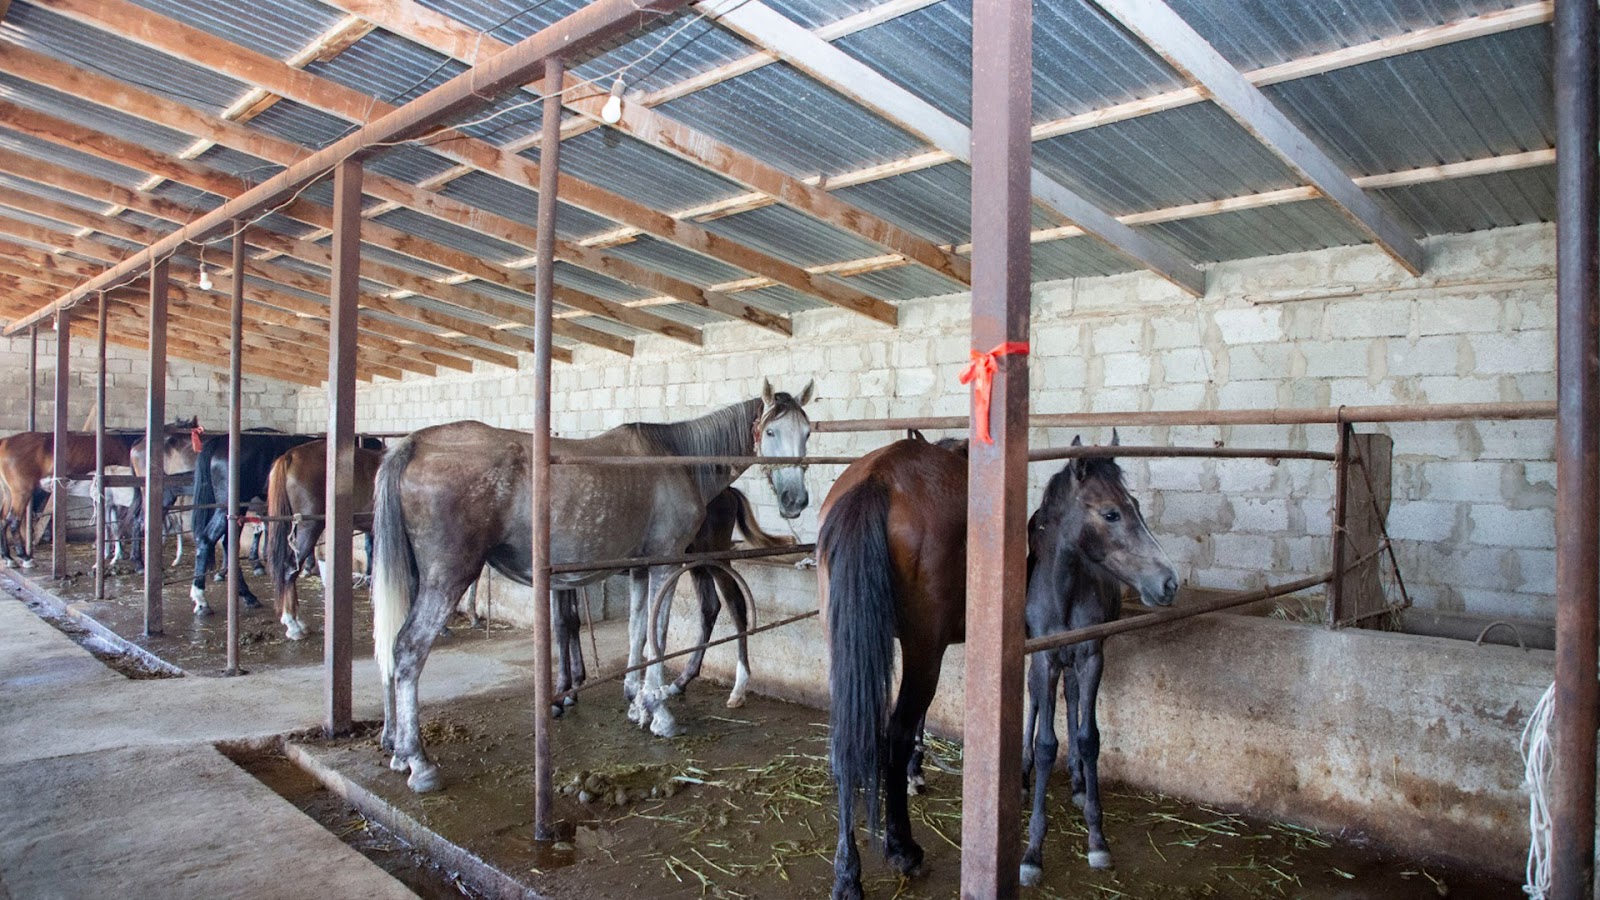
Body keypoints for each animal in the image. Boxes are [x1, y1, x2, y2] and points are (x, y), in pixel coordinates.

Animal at [0, 429, 136, 566]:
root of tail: (5, 442)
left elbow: (114, 525)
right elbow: (114, 524)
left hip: (9, 493)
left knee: (3, 520)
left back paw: (8, 557)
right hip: (22, 493)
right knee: (13, 520)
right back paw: (25, 557)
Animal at [366, 381, 806, 787]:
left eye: (807, 432)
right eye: (770, 431)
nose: (795, 500)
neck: (676, 459)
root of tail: (414, 445)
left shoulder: (641, 568)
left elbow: (636, 631)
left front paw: (638, 703)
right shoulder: (664, 564)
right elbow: (656, 634)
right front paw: (659, 713)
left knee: (392, 647)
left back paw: (398, 751)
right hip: (448, 577)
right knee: (408, 649)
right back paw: (419, 762)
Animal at [819, 432, 1184, 890]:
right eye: (1112, 513)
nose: (1168, 580)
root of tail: (878, 477)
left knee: (847, 743)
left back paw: (847, 875)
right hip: (925, 651)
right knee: (894, 735)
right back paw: (902, 849)